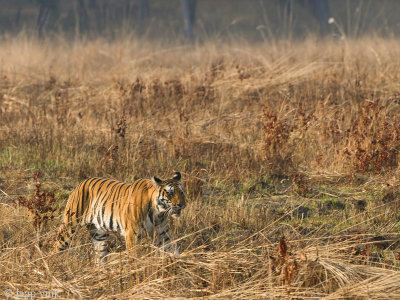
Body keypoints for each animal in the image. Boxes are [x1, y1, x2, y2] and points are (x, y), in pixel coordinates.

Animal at [54, 172, 186, 258]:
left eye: (181, 192)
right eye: (170, 193)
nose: (181, 205)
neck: (158, 213)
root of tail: (82, 182)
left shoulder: (163, 235)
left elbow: (172, 251)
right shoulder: (132, 235)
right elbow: (134, 257)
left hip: (99, 234)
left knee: (100, 257)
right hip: (70, 225)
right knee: (57, 246)